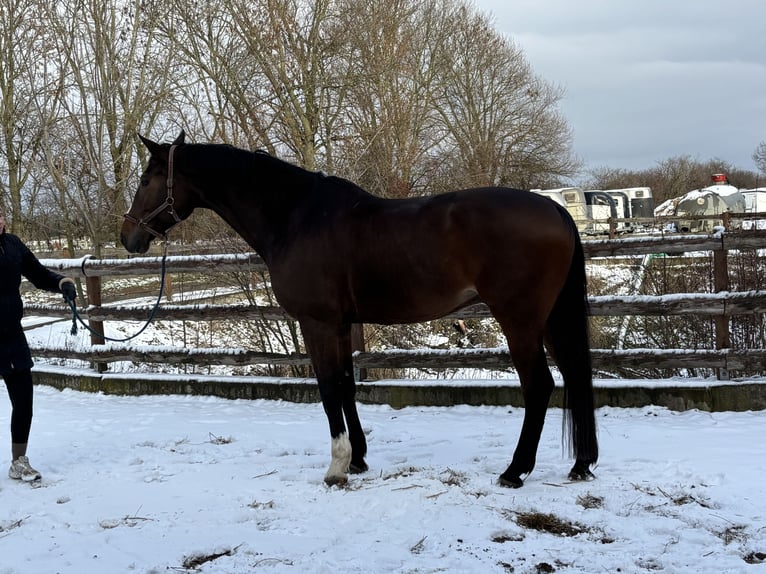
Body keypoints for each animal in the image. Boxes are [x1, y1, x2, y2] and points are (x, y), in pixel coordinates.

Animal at [121, 131, 598, 488]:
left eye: (146, 179)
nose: (128, 237)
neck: (295, 217)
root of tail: (555, 208)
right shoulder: (340, 324)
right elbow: (348, 388)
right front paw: (358, 460)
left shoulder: (316, 323)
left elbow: (329, 389)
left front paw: (336, 468)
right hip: (549, 318)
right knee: (575, 376)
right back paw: (581, 464)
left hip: (519, 320)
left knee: (540, 386)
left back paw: (515, 471)